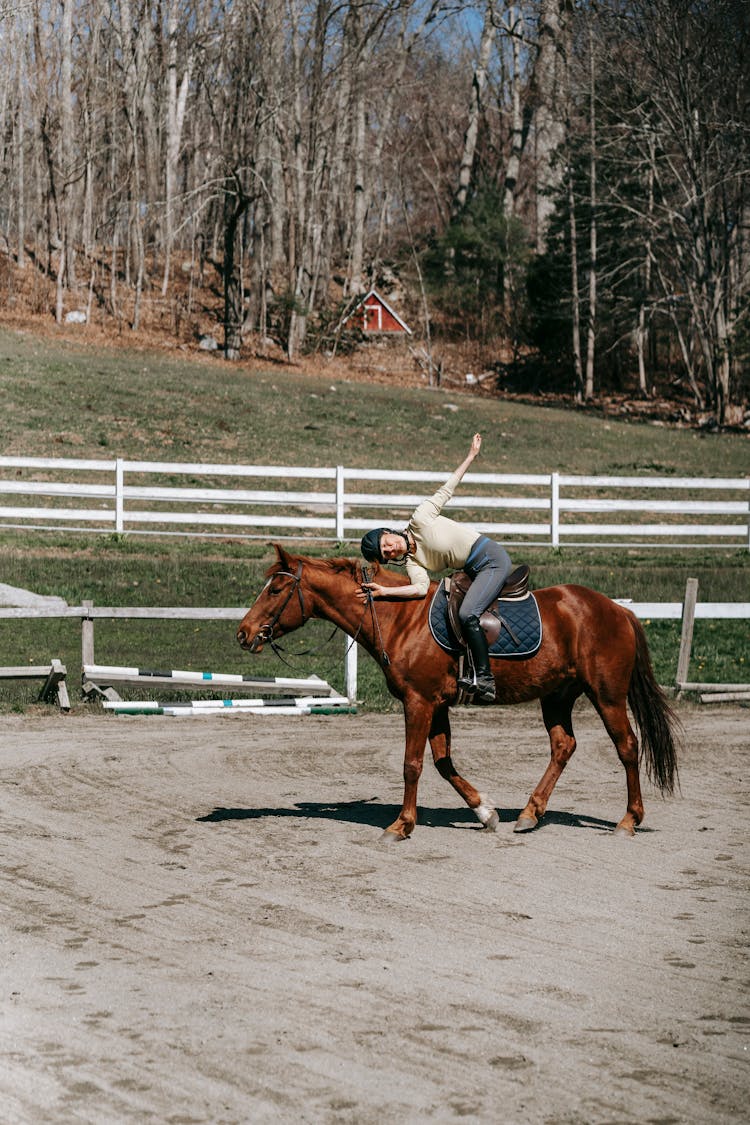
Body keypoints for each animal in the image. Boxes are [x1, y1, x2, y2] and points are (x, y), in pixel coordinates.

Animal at [239, 544, 679, 846]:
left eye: (276, 589)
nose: (243, 633)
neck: (401, 617)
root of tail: (618, 610)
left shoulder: (418, 702)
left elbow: (412, 764)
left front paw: (401, 825)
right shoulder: (436, 705)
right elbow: (442, 761)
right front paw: (485, 812)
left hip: (607, 695)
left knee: (627, 746)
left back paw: (628, 820)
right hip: (556, 696)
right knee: (563, 746)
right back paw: (529, 813)